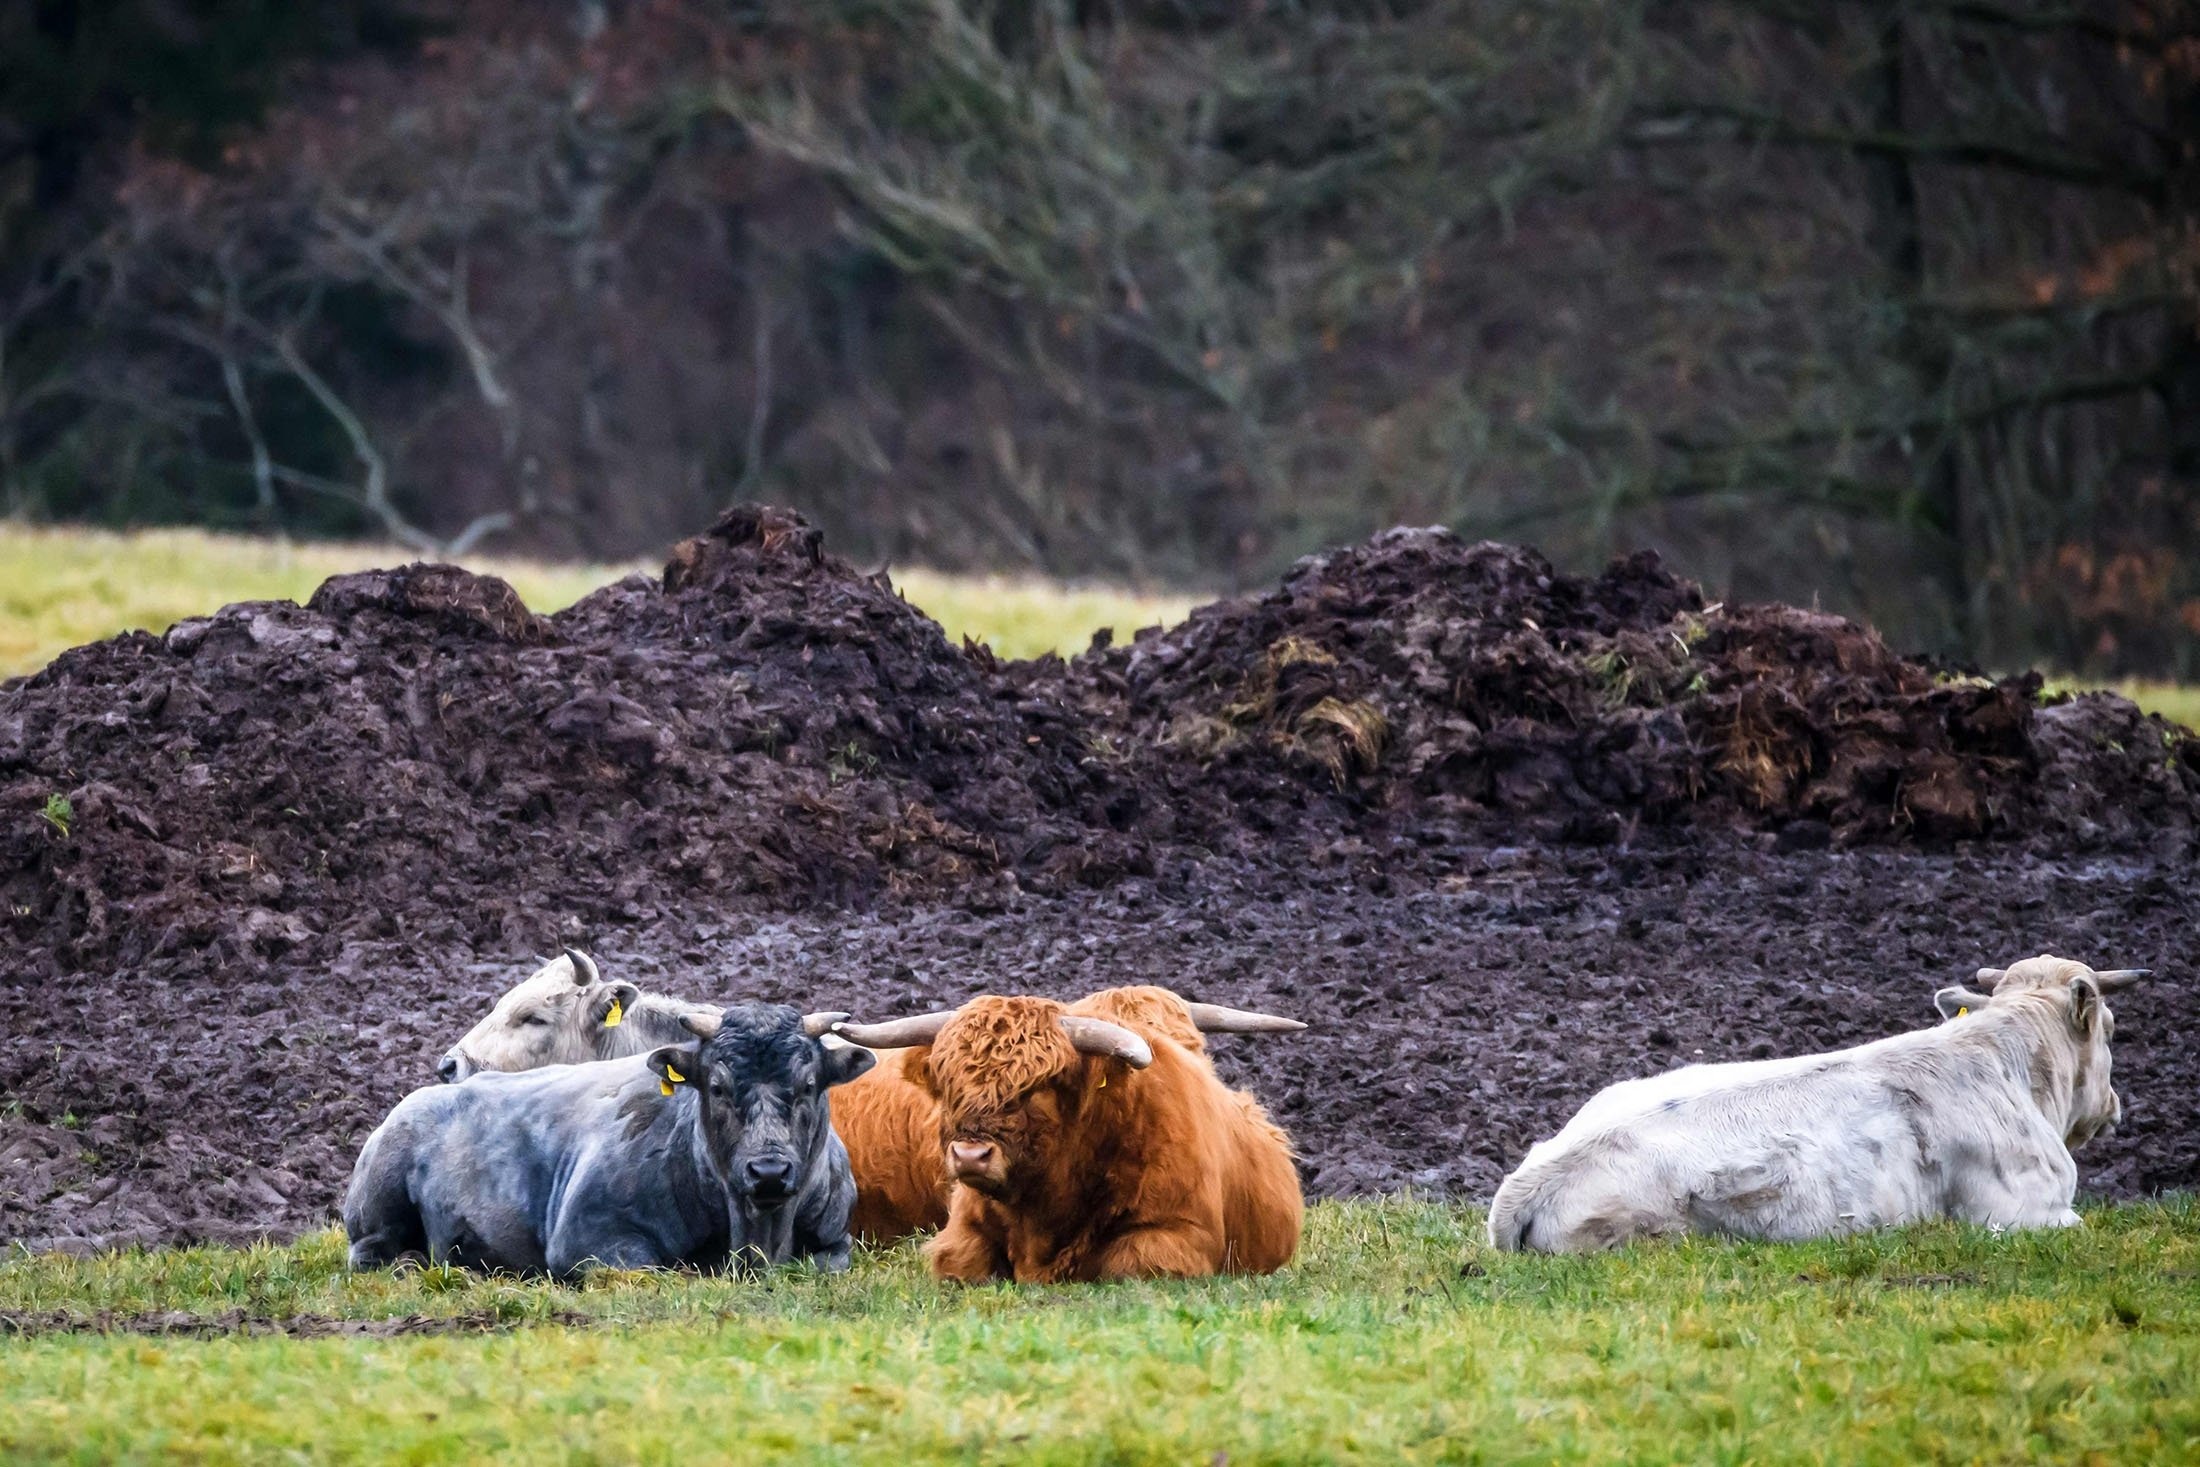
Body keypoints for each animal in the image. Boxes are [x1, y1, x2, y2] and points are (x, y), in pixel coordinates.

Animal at [343, 1002, 875, 1275]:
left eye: (808, 1085)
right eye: (718, 1087)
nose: (768, 1170)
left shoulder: (836, 1241)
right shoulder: (589, 1240)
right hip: (376, 1213)